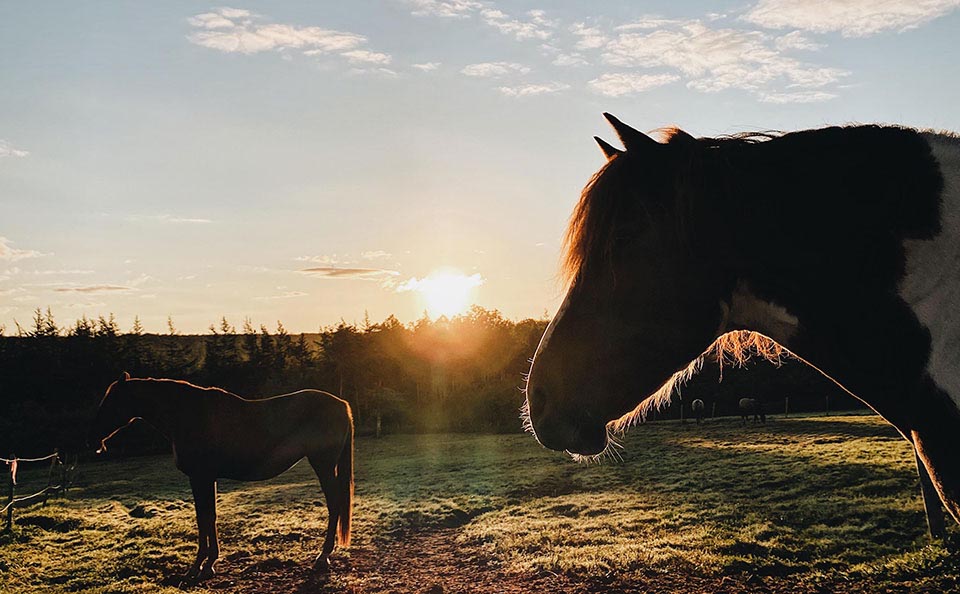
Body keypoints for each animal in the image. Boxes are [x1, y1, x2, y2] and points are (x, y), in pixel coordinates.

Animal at [89, 372, 352, 580]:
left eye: (111, 402)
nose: (93, 439)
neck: (186, 415)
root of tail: (342, 405)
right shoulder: (207, 478)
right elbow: (209, 517)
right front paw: (208, 563)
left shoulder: (200, 477)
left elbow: (204, 518)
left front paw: (199, 566)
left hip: (323, 464)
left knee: (334, 505)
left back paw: (323, 556)